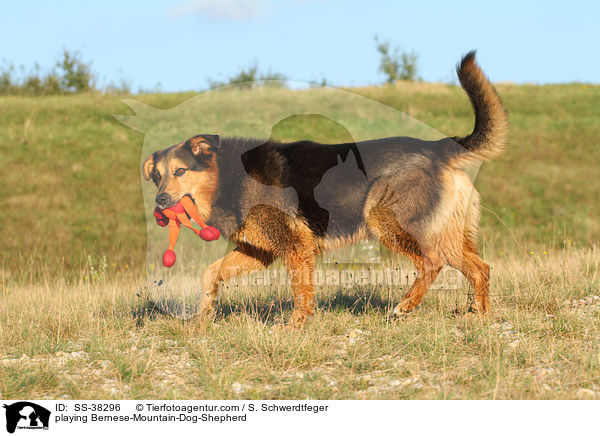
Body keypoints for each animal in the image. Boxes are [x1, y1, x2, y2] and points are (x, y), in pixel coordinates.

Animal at [143, 51, 508, 326]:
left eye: (180, 171)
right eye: (157, 176)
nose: (160, 201)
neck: (228, 177)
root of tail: (438, 148)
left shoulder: (296, 247)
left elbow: (301, 292)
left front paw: (295, 326)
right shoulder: (259, 251)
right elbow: (210, 274)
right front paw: (202, 315)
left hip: (388, 221)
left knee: (431, 264)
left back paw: (404, 307)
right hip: (446, 235)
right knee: (480, 269)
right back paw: (479, 314)